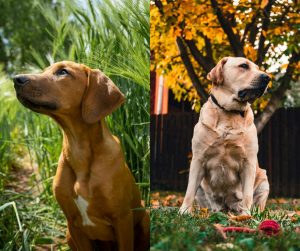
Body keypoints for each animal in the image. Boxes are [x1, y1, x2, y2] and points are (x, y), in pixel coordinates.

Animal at [13, 61, 149, 251]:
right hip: (68, 234)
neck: (79, 152)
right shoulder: (73, 223)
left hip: (145, 216)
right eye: (45, 70)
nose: (16, 79)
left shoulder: (122, 218)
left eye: (63, 72)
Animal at [180, 57, 270, 216]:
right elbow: (189, 191)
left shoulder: (249, 162)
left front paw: (245, 215)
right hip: (202, 189)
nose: (267, 78)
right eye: (244, 66)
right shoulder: (198, 159)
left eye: (258, 68)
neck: (229, 113)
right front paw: (184, 211)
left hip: (264, 181)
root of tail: (227, 207)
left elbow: (247, 194)